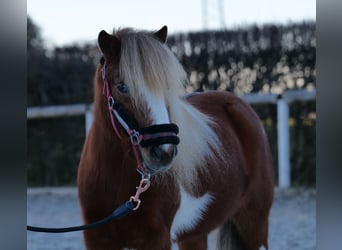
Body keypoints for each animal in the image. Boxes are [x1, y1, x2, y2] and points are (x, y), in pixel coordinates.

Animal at [77, 25, 272, 250]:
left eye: (166, 87)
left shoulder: (157, 239)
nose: (164, 152)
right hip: (195, 234)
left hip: (254, 223)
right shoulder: (97, 239)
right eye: (122, 87)